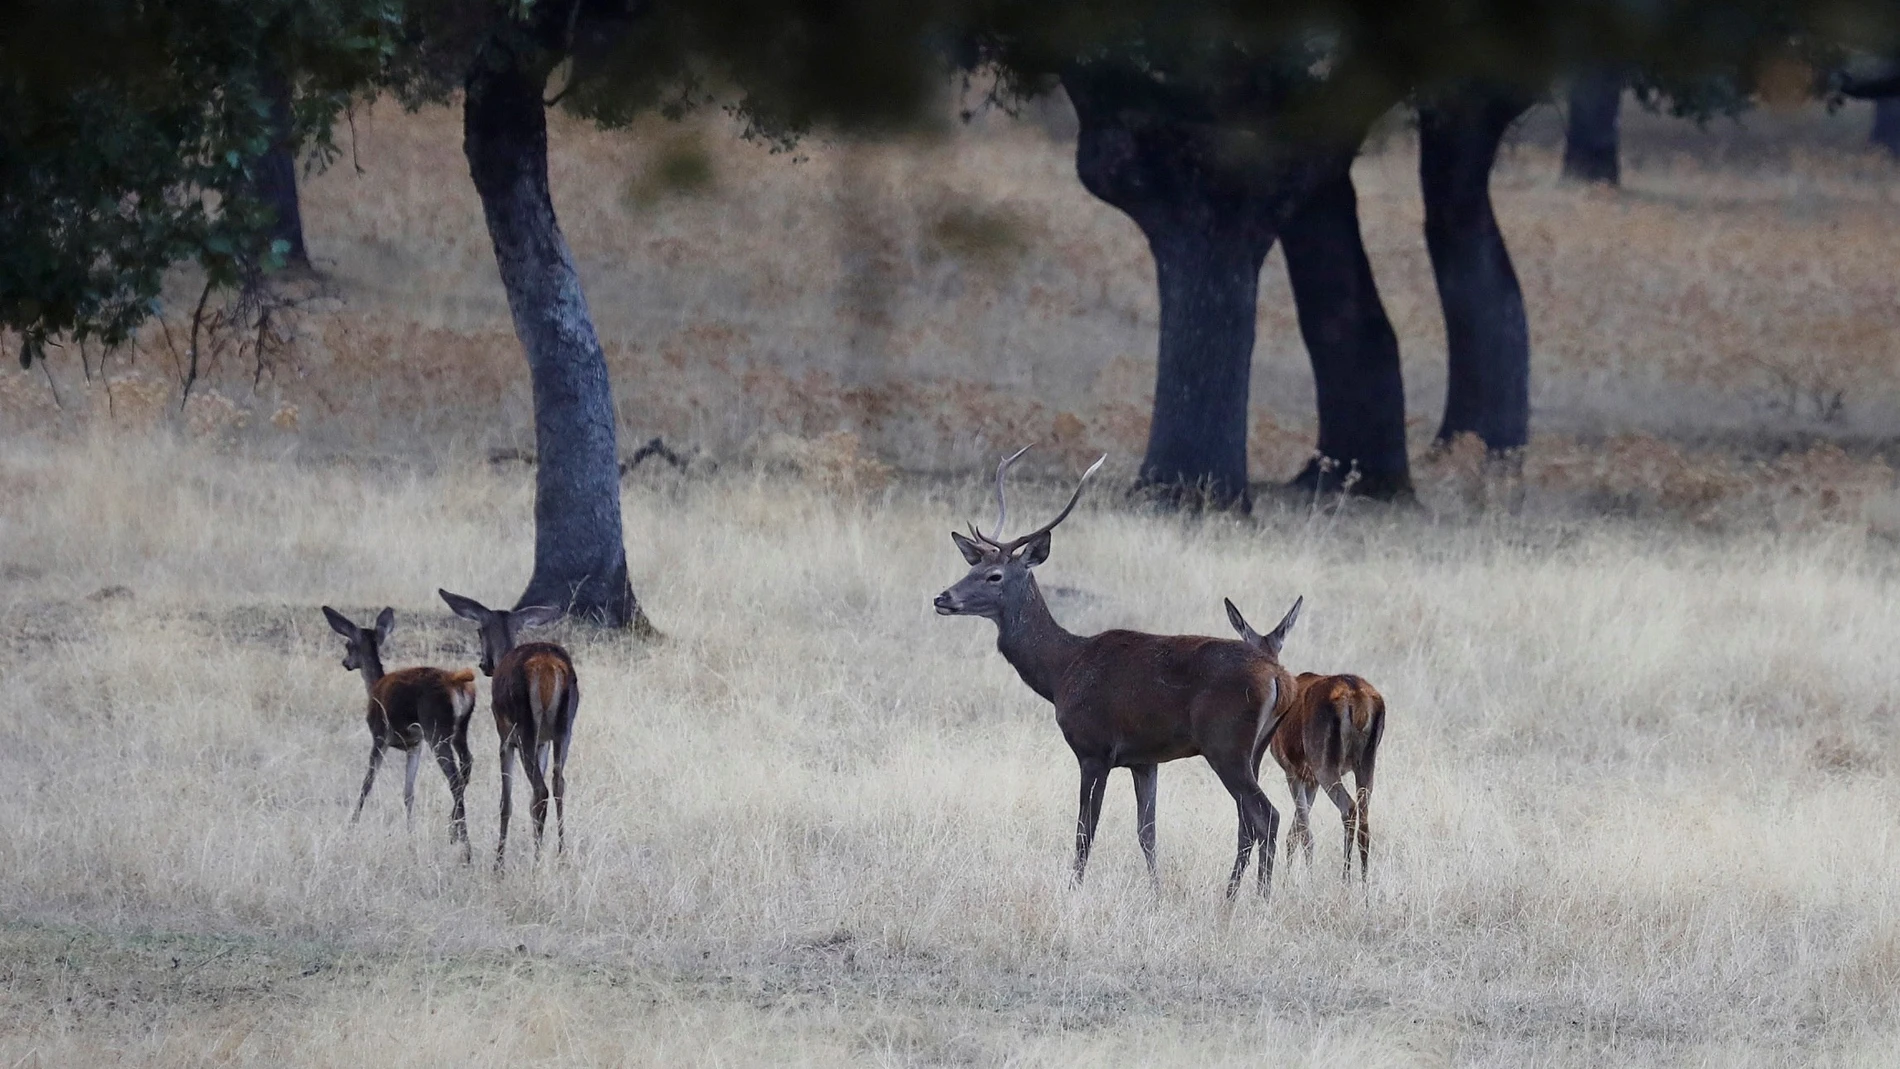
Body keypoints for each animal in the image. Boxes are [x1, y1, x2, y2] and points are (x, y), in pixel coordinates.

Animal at [319, 607, 475, 858]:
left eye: (348, 645)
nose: (345, 662)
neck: (373, 686)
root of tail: (458, 681)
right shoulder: (415, 744)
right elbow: (408, 792)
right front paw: (410, 832)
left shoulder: (380, 735)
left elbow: (367, 784)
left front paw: (351, 826)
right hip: (460, 729)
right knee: (467, 765)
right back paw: (454, 831)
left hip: (436, 729)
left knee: (454, 778)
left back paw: (464, 844)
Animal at [437, 592, 577, 869]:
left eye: (479, 630)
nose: (484, 664)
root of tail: (549, 666)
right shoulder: (544, 742)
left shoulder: (504, 738)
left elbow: (506, 801)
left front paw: (498, 863)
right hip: (564, 727)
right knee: (558, 784)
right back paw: (561, 855)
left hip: (523, 728)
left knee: (540, 790)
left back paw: (534, 862)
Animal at [931, 448, 1292, 900]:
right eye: (971, 567)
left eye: (994, 575)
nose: (942, 597)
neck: (1061, 671)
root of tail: (1279, 678)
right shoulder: (1145, 759)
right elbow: (1147, 832)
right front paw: (1157, 894)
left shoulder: (1093, 748)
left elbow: (1085, 830)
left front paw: (1073, 890)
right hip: (1255, 749)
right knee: (1249, 820)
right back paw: (1234, 896)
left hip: (1225, 743)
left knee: (1266, 816)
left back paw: (1258, 898)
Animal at [1223, 600, 1390, 881]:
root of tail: (1358, 700)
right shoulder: (1309, 779)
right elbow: (1296, 830)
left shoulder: (1293, 770)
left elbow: (1302, 831)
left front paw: (1300, 879)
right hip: (1367, 762)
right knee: (1365, 818)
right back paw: (1365, 885)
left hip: (1324, 761)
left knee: (1348, 808)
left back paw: (1345, 880)